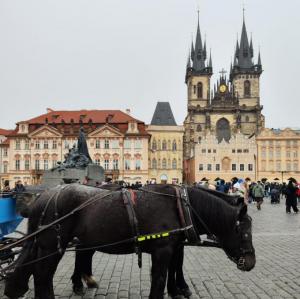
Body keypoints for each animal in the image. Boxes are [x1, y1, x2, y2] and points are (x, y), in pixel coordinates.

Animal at [4, 184, 254, 298]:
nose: (250, 262)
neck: (180, 206)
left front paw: (178, 288)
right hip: (52, 245)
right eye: (244, 232)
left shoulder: (174, 246)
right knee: (42, 274)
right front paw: (176, 289)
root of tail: (42, 196)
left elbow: (174, 268)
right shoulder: (163, 250)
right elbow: (160, 278)